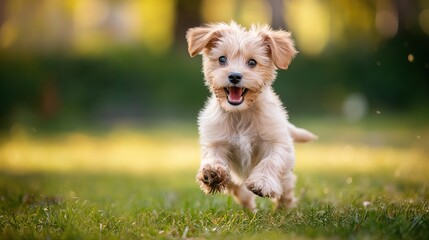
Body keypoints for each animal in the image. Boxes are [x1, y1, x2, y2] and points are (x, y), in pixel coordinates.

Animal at [186, 22, 316, 210]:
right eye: (222, 59)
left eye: (252, 62)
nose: (234, 76)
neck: (241, 113)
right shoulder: (216, 142)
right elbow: (213, 157)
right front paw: (212, 173)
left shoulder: (278, 143)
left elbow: (270, 161)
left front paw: (262, 183)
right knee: (241, 192)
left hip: (286, 176)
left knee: (286, 188)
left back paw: (284, 208)